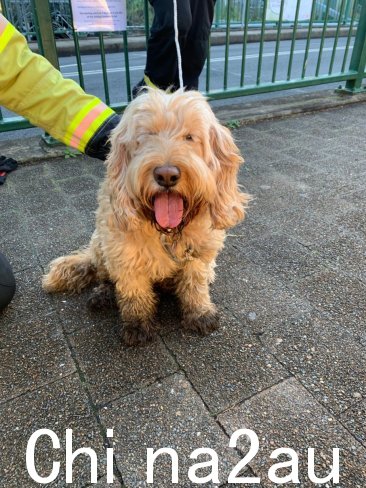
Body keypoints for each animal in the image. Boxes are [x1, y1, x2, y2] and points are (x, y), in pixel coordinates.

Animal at [42, 88, 249, 346]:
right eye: (147, 136)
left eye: (190, 137)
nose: (167, 175)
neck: (167, 233)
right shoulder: (124, 255)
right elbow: (134, 293)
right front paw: (138, 324)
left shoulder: (198, 253)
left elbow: (195, 285)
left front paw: (199, 312)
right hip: (99, 245)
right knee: (103, 275)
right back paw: (103, 294)